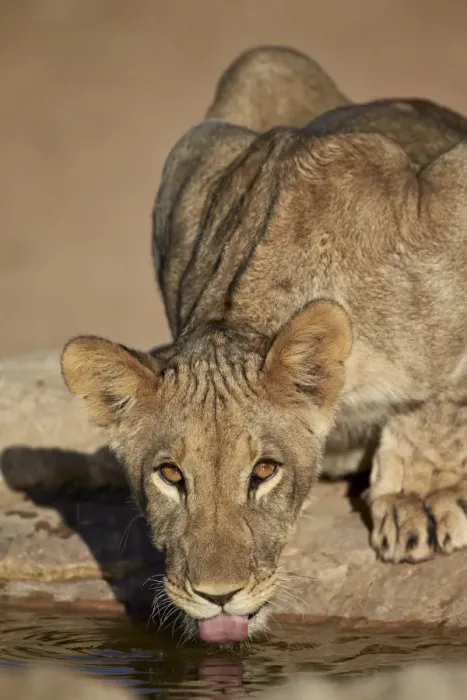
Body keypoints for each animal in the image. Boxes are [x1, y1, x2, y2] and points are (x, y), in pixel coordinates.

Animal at [61, 46, 467, 644]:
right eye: (171, 476)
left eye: (264, 472)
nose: (217, 596)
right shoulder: (196, 157)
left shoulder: (448, 202)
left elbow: (432, 404)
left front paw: (419, 500)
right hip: (264, 61)